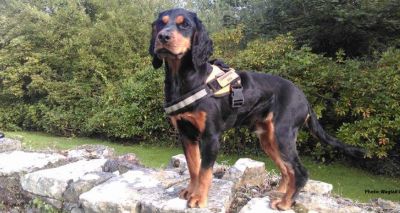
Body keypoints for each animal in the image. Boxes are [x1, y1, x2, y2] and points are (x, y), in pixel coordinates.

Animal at [148, 7, 362, 210]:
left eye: (184, 25)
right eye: (161, 24)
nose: (163, 37)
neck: (185, 80)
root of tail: (304, 98)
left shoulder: (211, 137)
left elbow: (205, 171)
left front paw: (199, 198)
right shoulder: (186, 135)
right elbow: (193, 168)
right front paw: (190, 192)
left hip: (282, 135)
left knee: (300, 171)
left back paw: (285, 203)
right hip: (268, 139)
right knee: (287, 170)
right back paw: (279, 193)